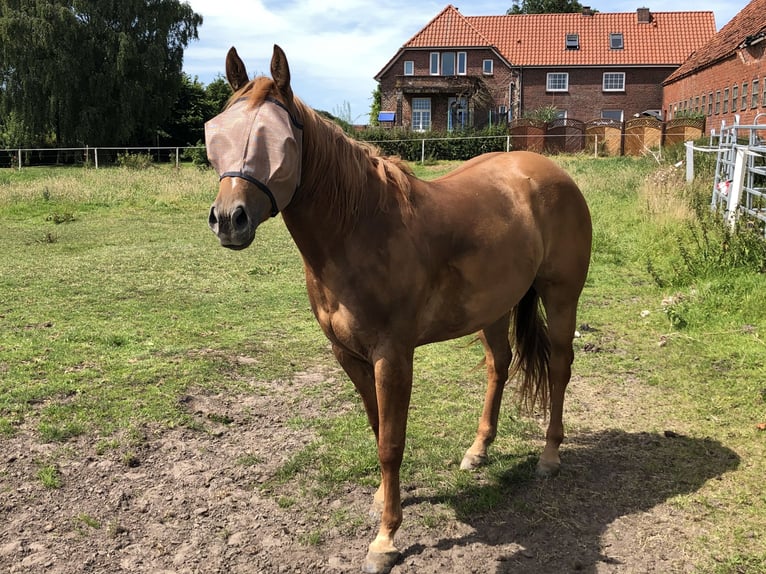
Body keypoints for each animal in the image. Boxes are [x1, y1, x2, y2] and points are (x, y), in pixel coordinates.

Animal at [205, 45, 592, 574]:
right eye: (217, 132)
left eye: (276, 138)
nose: (229, 220)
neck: (359, 227)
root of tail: (551, 174)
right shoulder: (348, 354)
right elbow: (376, 428)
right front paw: (381, 501)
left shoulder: (393, 356)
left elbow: (391, 443)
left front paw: (386, 539)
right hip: (493, 307)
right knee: (500, 365)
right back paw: (478, 451)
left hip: (561, 295)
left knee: (558, 367)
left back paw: (549, 457)